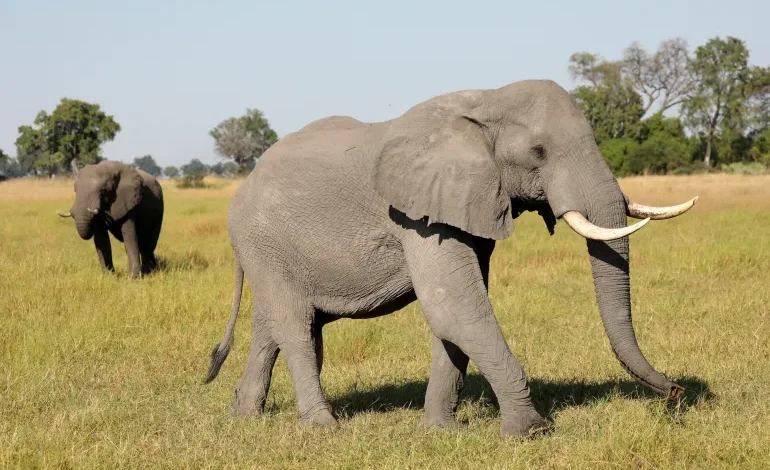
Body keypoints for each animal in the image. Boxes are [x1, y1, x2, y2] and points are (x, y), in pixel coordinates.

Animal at [202, 80, 696, 436]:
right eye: (539, 152)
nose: (677, 392)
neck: (487, 100)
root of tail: (243, 185)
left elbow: (457, 315)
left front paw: (442, 432)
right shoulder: (417, 214)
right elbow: (454, 307)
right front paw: (530, 432)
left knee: (275, 326)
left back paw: (243, 418)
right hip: (262, 241)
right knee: (296, 326)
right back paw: (324, 429)